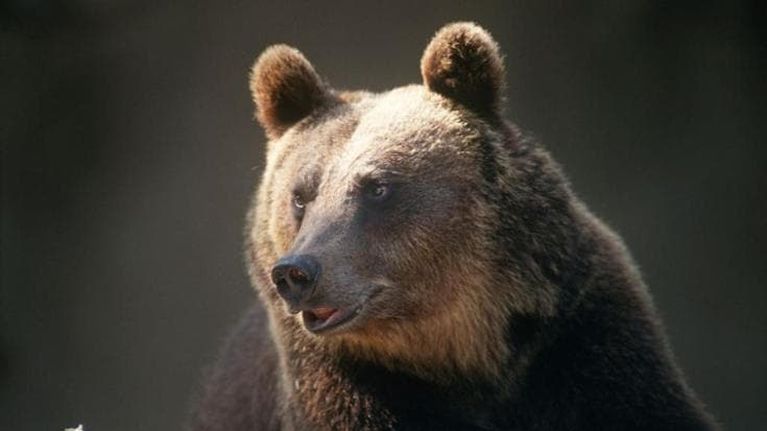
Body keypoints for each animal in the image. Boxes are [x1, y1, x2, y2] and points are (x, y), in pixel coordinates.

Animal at [190, 22, 719, 431]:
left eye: (377, 188)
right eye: (301, 196)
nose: (297, 272)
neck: (463, 348)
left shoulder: (583, 337)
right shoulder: (341, 381)